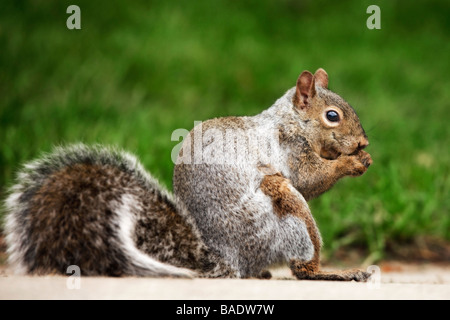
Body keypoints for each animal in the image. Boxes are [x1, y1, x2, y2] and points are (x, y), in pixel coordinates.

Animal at [3, 68, 372, 280]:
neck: (291, 120)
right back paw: (337, 273)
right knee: (303, 269)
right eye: (332, 116)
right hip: (283, 203)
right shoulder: (290, 149)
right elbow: (310, 179)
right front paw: (353, 163)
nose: (364, 142)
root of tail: (230, 258)